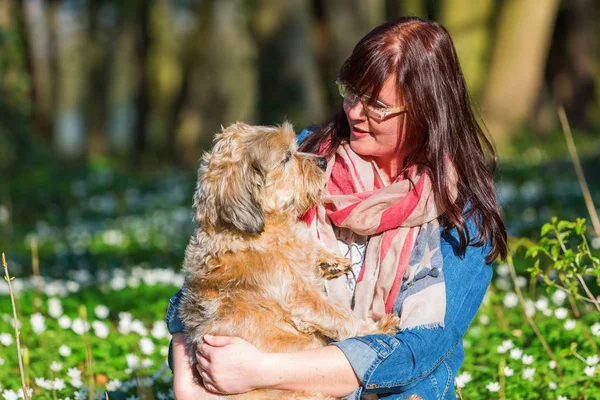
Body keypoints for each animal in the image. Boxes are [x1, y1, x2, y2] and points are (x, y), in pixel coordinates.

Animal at [180, 123, 400, 398]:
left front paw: (328, 259)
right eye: (285, 157)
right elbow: (340, 316)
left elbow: (309, 246)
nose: (322, 160)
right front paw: (377, 329)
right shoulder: (302, 298)